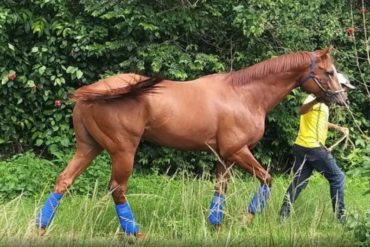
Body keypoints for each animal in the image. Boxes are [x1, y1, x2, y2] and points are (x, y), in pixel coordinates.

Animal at [34, 47, 346, 238]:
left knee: (63, 181)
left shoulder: (224, 156)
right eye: (329, 72)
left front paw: (217, 227)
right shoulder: (237, 151)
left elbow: (220, 189)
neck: (244, 94)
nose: (342, 99)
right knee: (117, 188)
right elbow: (266, 179)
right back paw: (136, 233)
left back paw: (40, 229)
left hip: (88, 148)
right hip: (123, 151)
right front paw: (245, 220)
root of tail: (91, 91)